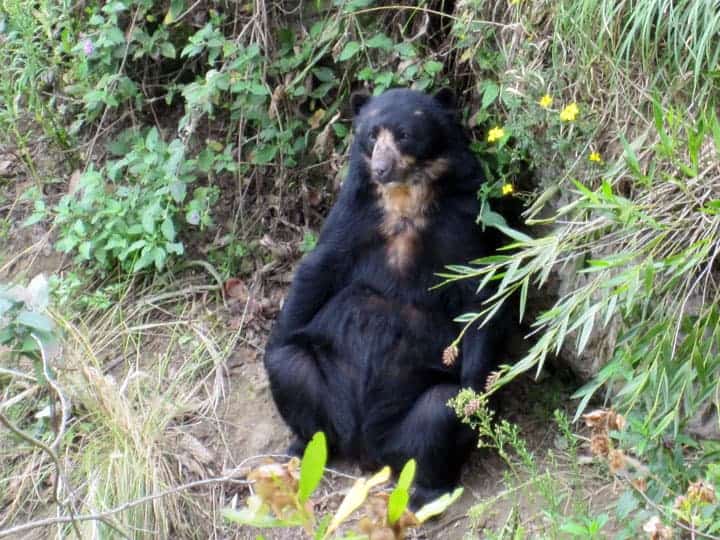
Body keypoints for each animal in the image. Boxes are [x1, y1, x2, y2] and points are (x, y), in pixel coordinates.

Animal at [264, 88, 506, 506]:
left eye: (404, 135)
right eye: (371, 135)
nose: (380, 168)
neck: (403, 195)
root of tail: (366, 449)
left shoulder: (462, 220)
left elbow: (479, 295)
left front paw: (478, 389)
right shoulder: (354, 213)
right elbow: (319, 267)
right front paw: (276, 335)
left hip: (412, 421)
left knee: (442, 412)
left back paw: (428, 492)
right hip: (327, 391)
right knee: (289, 366)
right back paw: (302, 449)